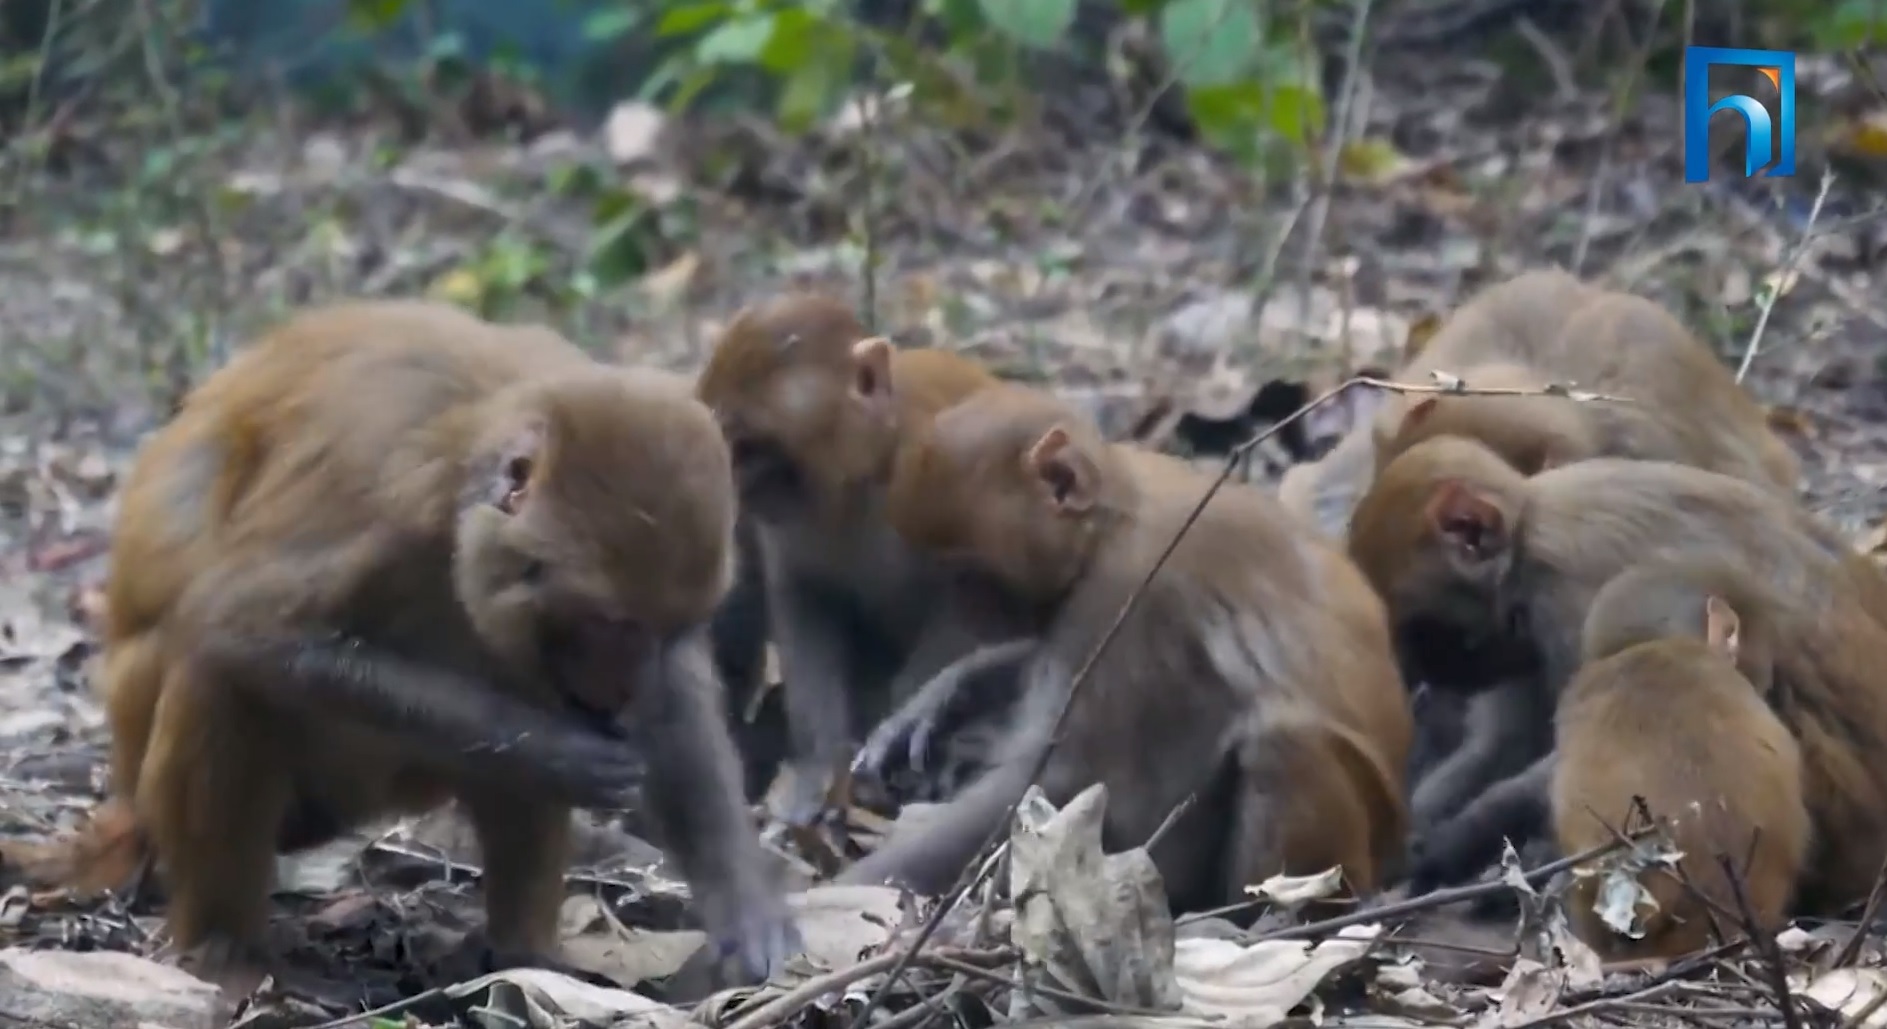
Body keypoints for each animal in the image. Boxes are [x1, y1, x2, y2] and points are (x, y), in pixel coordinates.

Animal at [75, 300, 796, 989]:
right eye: (609, 624)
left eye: (664, 632)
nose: (620, 688)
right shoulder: (377, 493)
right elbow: (239, 628)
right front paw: (553, 748)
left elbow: (675, 709)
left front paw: (743, 909)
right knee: (221, 681)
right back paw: (225, 946)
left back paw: (519, 954)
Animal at [694, 292, 1011, 823]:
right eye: (729, 445)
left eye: (750, 446)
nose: (728, 483)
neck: (865, 477)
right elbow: (803, 600)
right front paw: (820, 770)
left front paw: (899, 728)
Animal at [834, 381, 1411, 910]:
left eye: (977, 576)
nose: (969, 614)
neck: (1113, 516)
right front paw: (950, 691)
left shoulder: (1128, 596)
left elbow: (1072, 784)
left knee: (1284, 746)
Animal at [1351, 434, 1887, 906]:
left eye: (1412, 627)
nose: (1415, 673)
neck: (1530, 531)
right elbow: (1505, 742)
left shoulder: (1565, 599)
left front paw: (1454, 844)